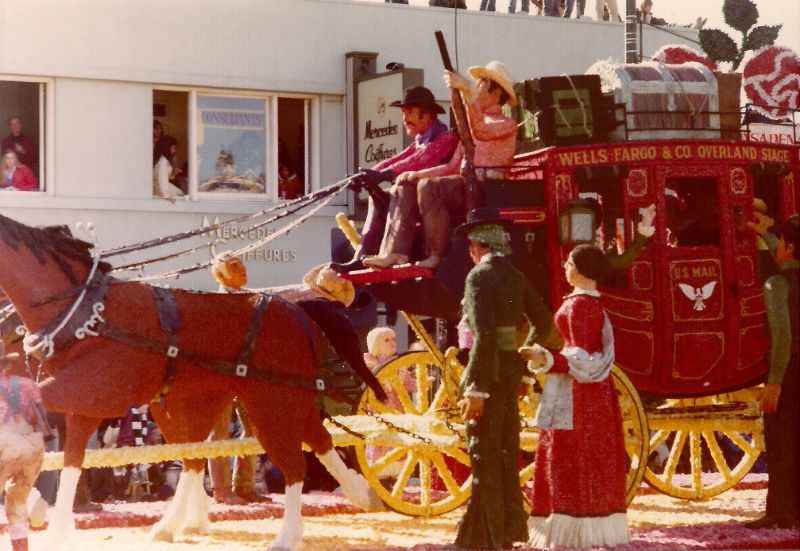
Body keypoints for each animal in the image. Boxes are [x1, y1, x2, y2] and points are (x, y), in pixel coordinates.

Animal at [0, 213, 382, 548]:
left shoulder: (86, 393)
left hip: (272, 402)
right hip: (225, 402)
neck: (84, 311)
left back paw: (288, 536)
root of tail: (297, 308)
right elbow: (69, 461)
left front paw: (36, 509)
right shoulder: (84, 406)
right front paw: (52, 524)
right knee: (278, 445)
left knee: (294, 462)